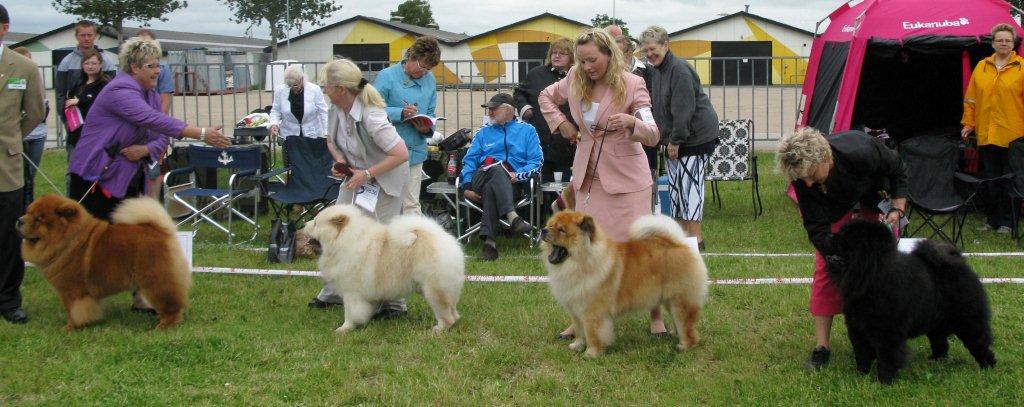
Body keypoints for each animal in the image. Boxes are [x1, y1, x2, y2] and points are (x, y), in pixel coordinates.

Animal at [17, 193, 190, 330]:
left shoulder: (72, 291)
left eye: (38, 219)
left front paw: (71, 327)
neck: (70, 240)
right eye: (27, 212)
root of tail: (158, 229)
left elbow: (73, 311)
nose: (19, 220)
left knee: (170, 302)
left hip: (155, 279)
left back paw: (166, 324)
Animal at [296, 205, 464, 332]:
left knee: (446, 314)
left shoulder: (351, 292)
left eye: (316, 223)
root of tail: (440, 237)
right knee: (453, 311)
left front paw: (344, 329)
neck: (345, 241)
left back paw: (438, 330)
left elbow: (350, 313)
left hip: (433, 289)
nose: (304, 225)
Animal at [540, 211, 708, 356]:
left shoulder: (592, 312)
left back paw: (684, 345)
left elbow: (593, 334)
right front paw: (577, 346)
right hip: (670, 300)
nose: (543, 230)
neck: (581, 263)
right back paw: (675, 334)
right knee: (677, 320)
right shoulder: (576, 309)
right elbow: (580, 330)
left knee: (687, 325)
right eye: (550, 225)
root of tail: (678, 243)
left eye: (562, 230)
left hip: (680, 299)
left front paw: (591, 353)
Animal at [827, 218, 995, 383]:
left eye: (846, 238)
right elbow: (862, 354)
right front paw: (861, 375)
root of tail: (961, 264)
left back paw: (988, 367)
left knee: (980, 343)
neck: (872, 277)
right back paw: (936, 360)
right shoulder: (857, 328)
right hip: (936, 323)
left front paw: (884, 381)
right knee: (940, 342)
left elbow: (887, 358)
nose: (830, 236)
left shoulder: (888, 332)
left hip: (967, 321)